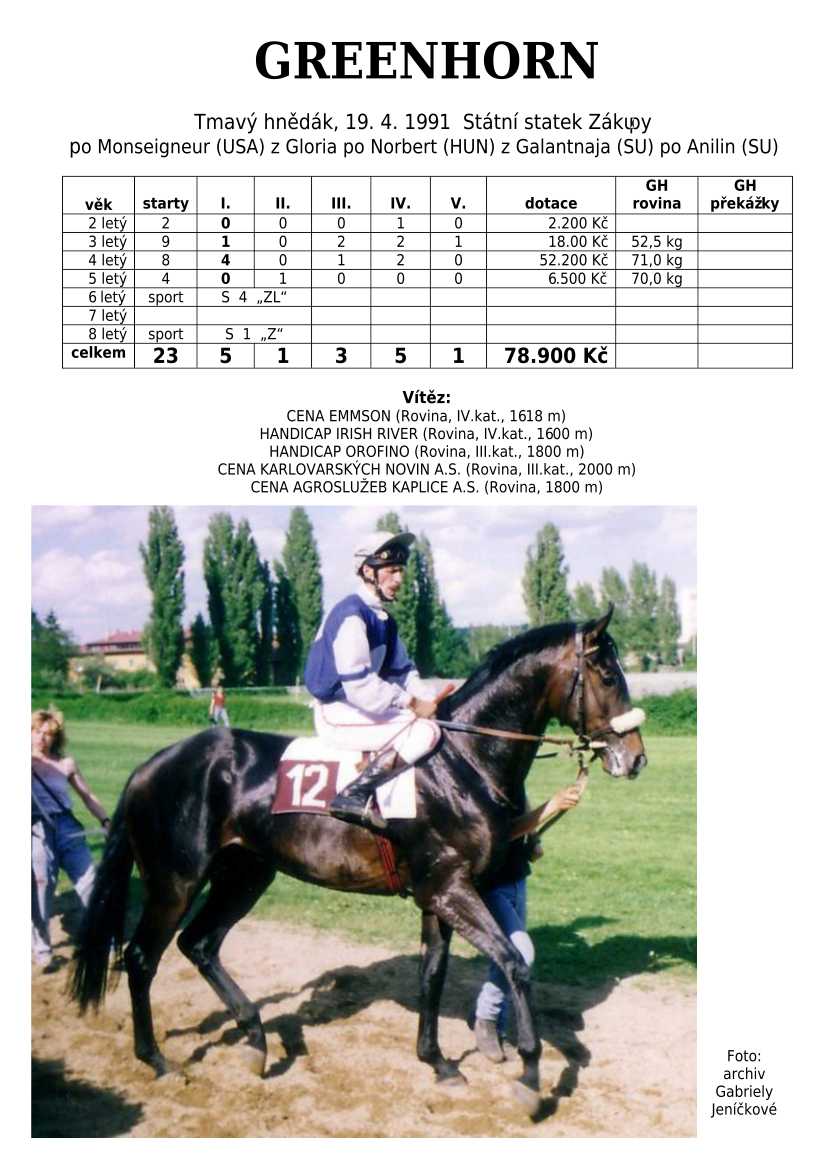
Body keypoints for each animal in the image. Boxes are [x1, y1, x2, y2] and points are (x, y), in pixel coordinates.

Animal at [70, 608, 646, 1116]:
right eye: (606, 673)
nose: (636, 757)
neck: (461, 763)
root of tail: (151, 765)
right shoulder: (450, 889)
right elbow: (514, 965)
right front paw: (528, 1077)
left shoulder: (437, 896)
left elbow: (432, 975)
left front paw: (437, 1062)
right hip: (176, 882)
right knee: (141, 958)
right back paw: (156, 1059)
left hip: (245, 874)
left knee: (200, 944)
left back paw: (255, 1038)